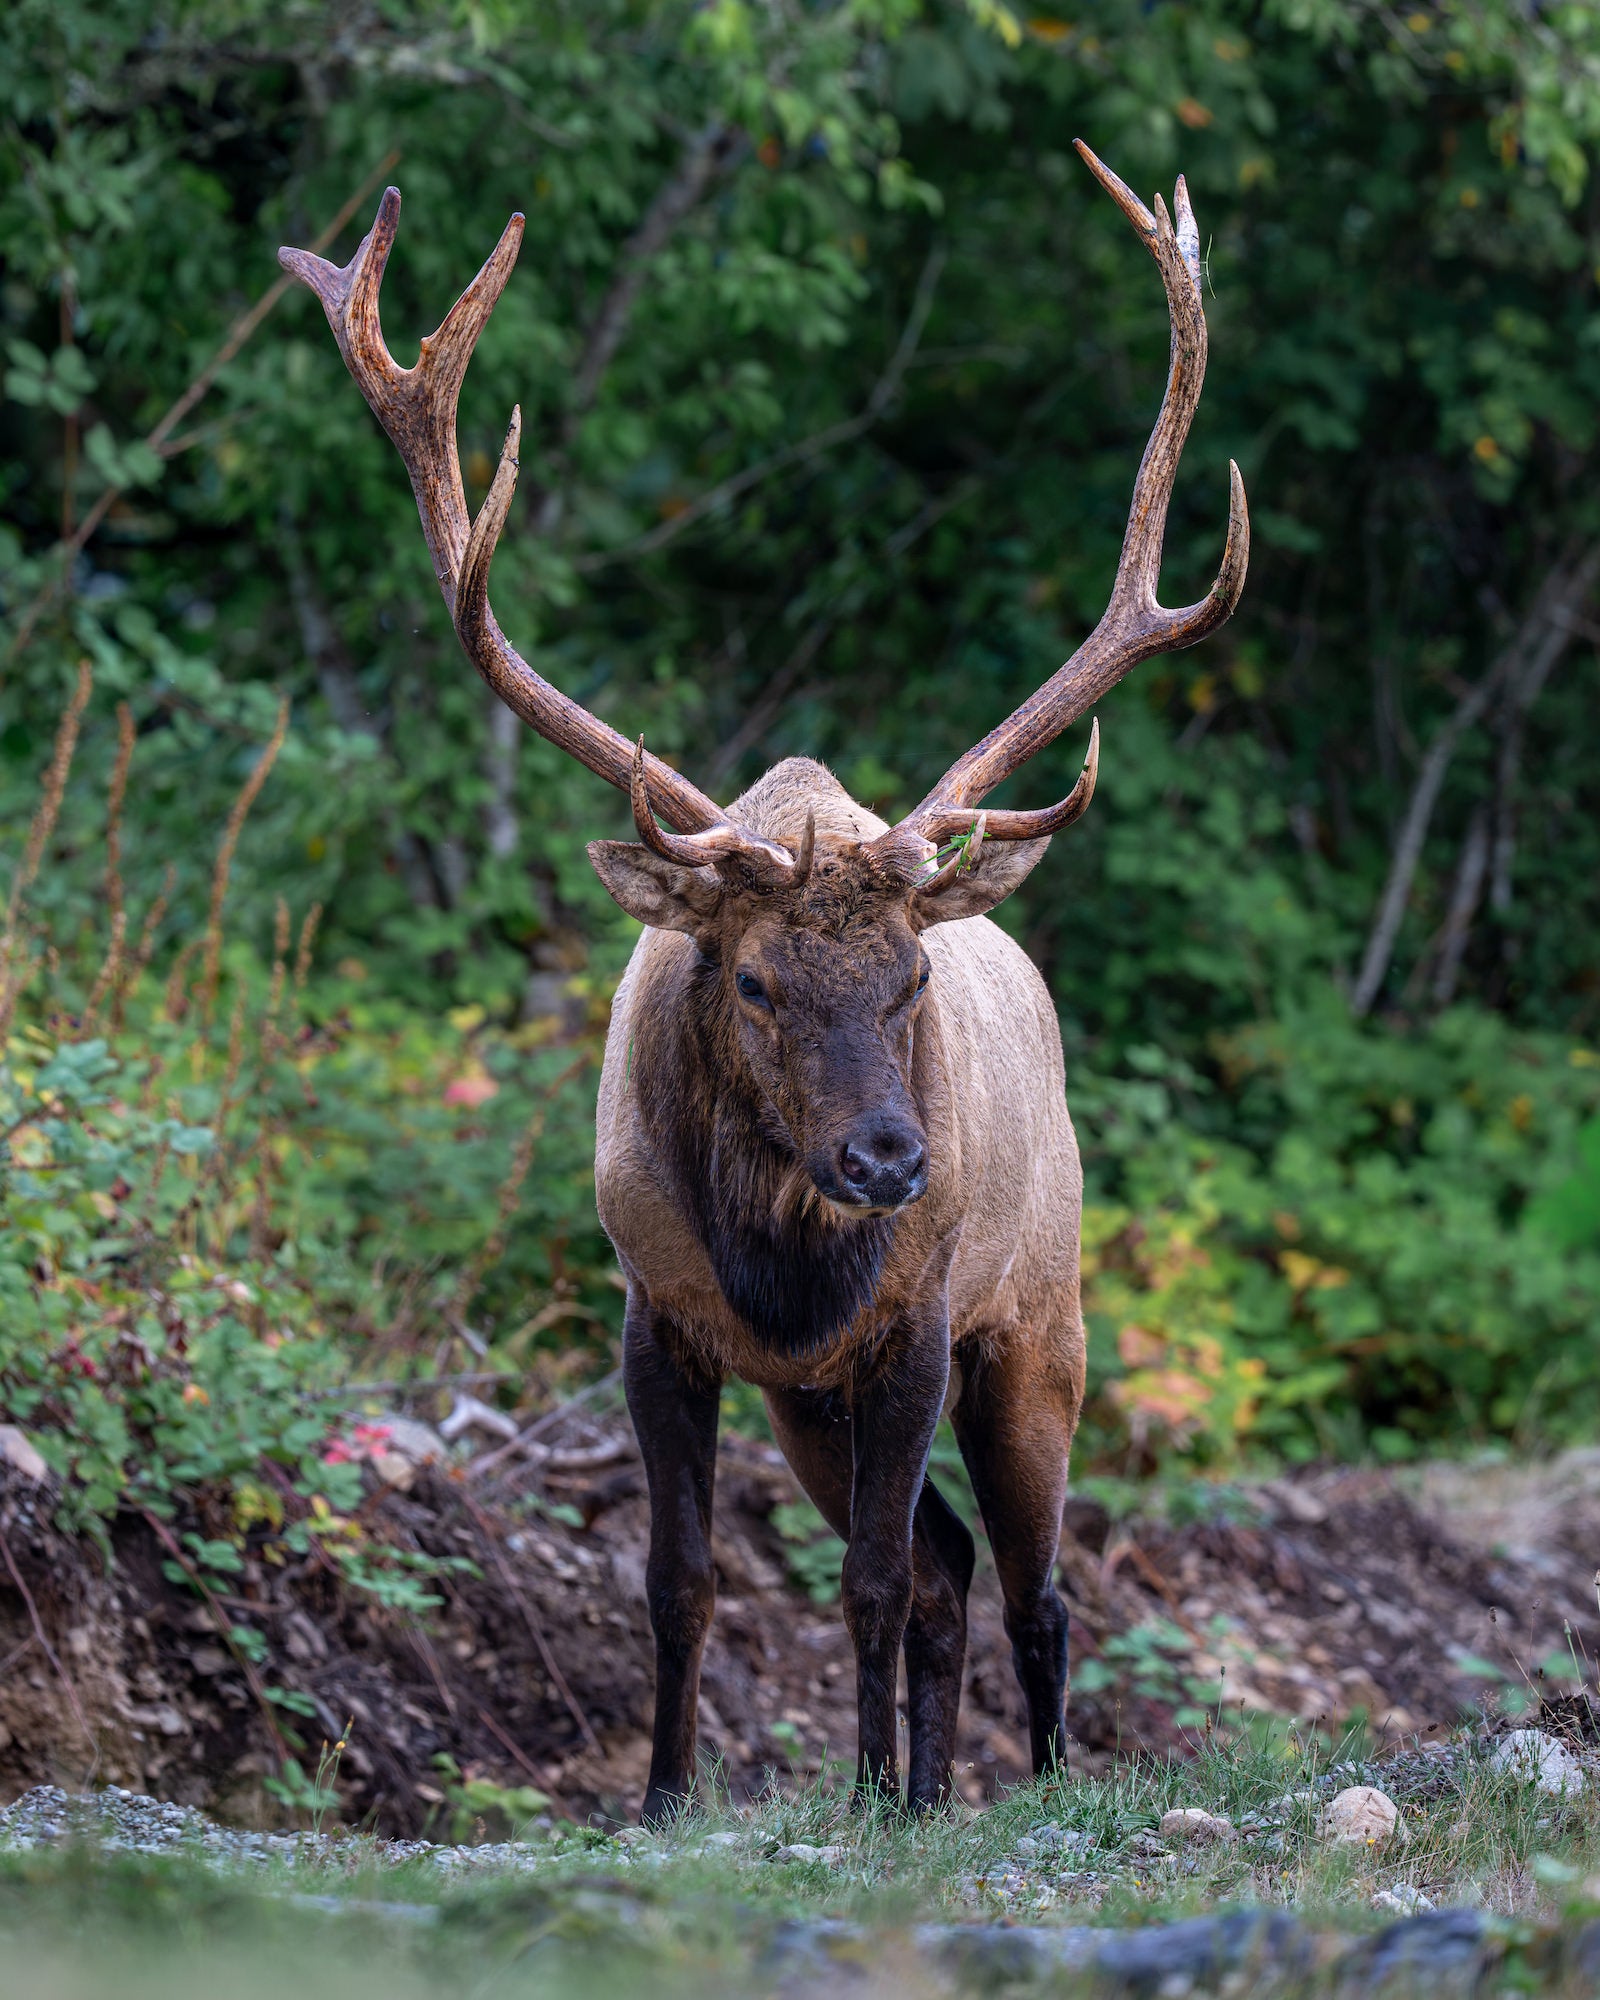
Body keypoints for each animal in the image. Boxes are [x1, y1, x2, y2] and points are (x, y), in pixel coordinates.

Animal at [281, 140, 1247, 1822]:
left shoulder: (918, 1315)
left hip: (1040, 1315)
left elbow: (860, 1581)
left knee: (1033, 1583)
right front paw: (675, 1796)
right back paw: (926, 1787)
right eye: (747, 981)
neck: (782, 1267)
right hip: (816, 1399)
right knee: (947, 1567)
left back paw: (1029, 1783)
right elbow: (684, 1579)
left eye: (911, 972)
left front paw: (855, 1798)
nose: (887, 1157)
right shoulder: (655, 1314)